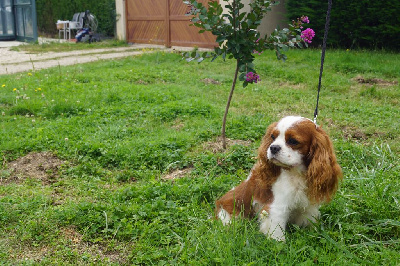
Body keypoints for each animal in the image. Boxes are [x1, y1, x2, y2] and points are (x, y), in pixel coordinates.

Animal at [214, 116, 342, 241]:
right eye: (272, 137)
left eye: (293, 141)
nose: (273, 147)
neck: (296, 174)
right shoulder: (277, 207)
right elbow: (277, 235)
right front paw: (279, 244)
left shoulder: (308, 207)